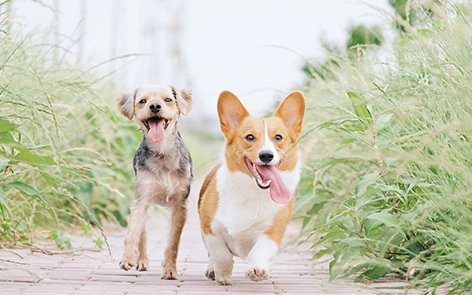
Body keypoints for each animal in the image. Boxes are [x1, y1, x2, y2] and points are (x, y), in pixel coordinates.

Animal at [117, 84, 193, 280]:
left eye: (168, 100)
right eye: (143, 101)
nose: (155, 106)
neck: (162, 152)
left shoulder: (180, 206)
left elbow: (173, 242)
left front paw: (170, 270)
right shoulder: (142, 198)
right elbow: (133, 232)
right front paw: (128, 257)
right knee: (142, 233)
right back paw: (141, 261)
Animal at [196, 91, 304, 286]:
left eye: (278, 137)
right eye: (250, 137)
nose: (266, 155)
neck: (252, 190)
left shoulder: (272, 233)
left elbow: (260, 250)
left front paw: (258, 269)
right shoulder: (210, 229)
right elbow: (221, 254)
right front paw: (223, 275)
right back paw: (211, 270)